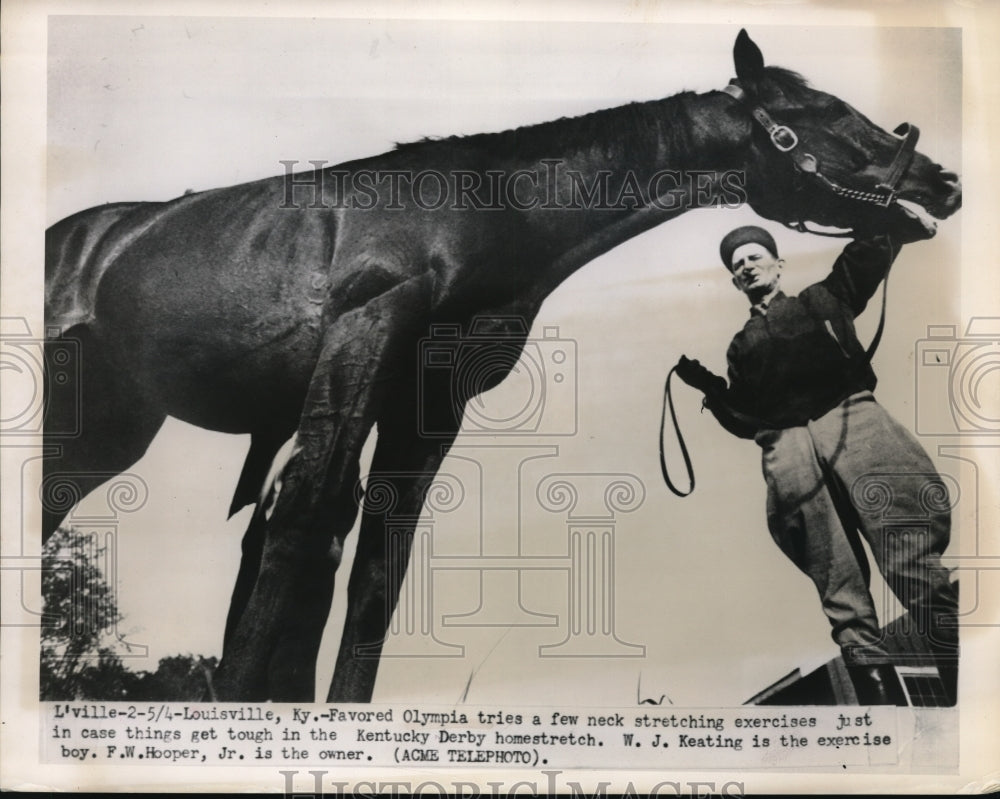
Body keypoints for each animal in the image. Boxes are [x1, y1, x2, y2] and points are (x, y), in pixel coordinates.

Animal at [45, 32, 960, 700]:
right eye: (819, 109)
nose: (942, 179)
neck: (473, 213)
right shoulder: (361, 337)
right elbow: (306, 521)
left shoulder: (429, 400)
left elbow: (378, 563)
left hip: (109, 431)